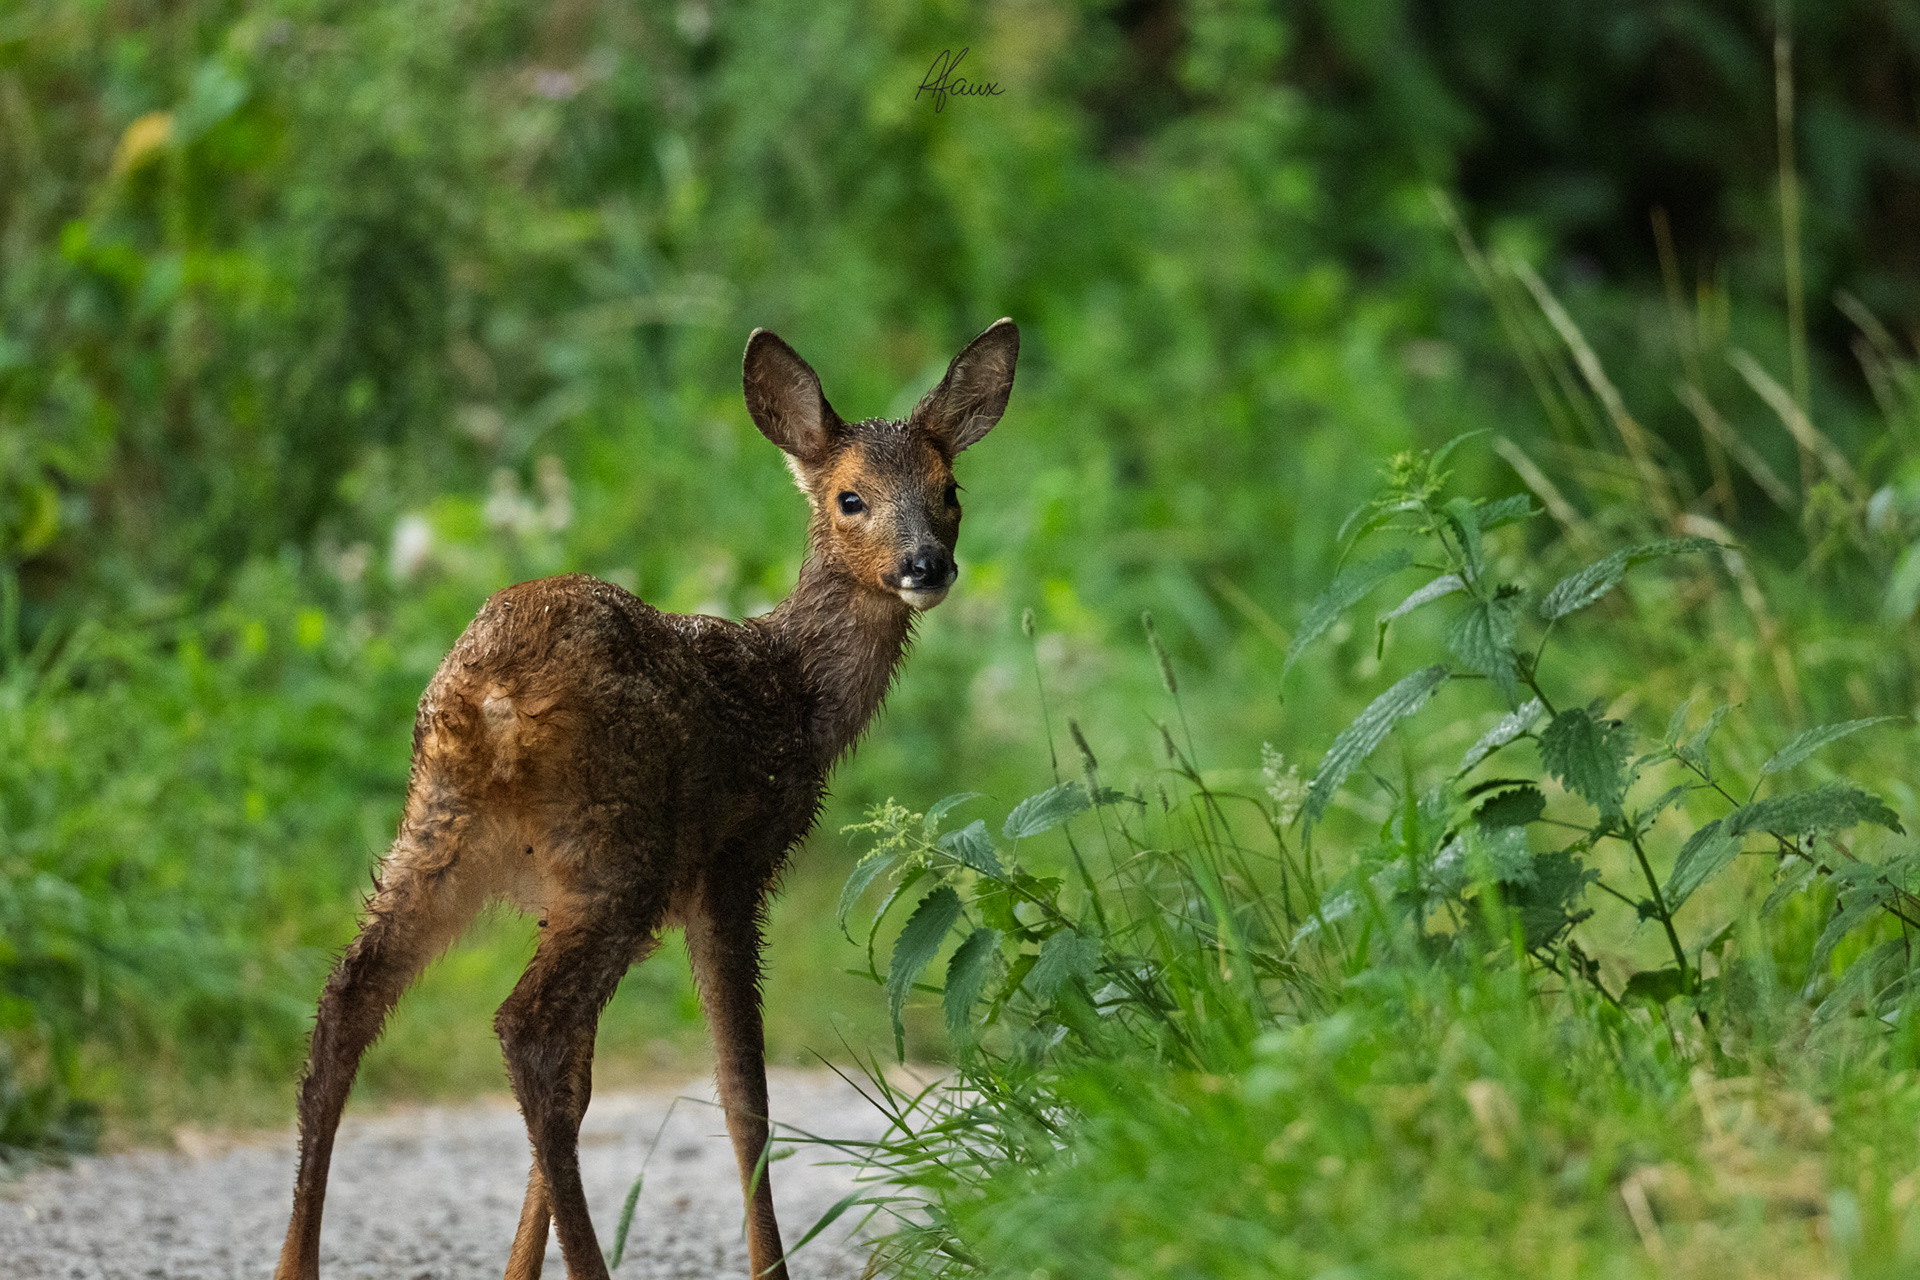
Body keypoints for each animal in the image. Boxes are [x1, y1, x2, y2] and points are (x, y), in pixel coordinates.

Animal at [271, 319, 1019, 1280]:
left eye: (949, 489)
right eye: (850, 498)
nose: (927, 564)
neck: (793, 695)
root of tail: (488, 698)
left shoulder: (595, 892)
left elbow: (591, 1084)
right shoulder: (733, 863)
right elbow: (743, 1096)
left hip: (443, 833)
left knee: (350, 998)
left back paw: (296, 1263)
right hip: (615, 849)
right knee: (528, 1029)